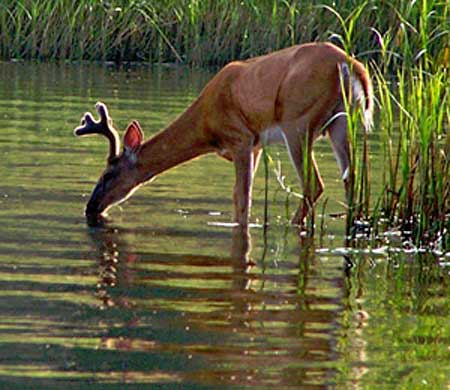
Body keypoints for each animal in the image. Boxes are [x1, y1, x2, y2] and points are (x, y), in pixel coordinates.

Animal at [74, 41, 372, 227]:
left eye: (108, 174)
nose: (90, 207)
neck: (206, 126)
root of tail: (350, 65)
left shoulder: (240, 138)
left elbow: (242, 199)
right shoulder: (255, 146)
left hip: (297, 122)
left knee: (315, 184)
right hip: (341, 123)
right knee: (351, 178)